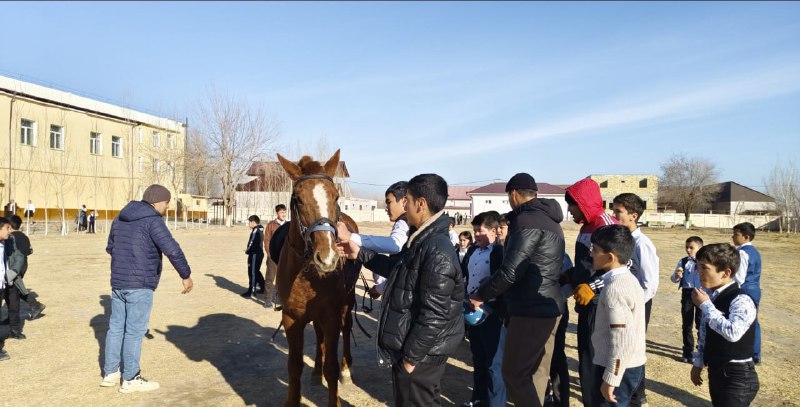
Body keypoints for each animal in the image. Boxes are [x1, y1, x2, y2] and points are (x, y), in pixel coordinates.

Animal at [276, 151, 360, 407]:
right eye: (297, 199)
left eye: (336, 197)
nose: (327, 257)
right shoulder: (292, 318)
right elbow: (294, 366)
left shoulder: (331, 316)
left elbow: (331, 368)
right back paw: (315, 371)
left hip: (346, 304)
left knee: (346, 328)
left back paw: (346, 370)